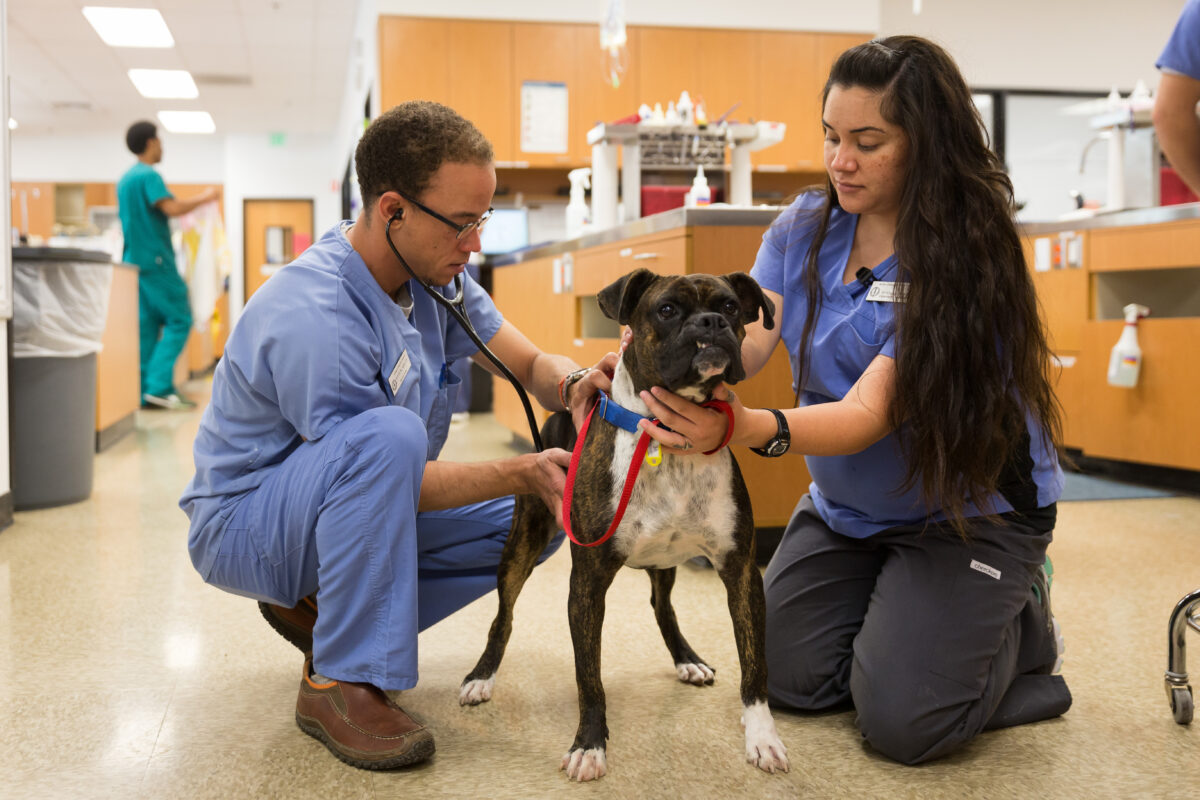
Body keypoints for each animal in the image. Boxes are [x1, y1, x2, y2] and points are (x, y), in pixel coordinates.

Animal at [458, 268, 787, 782]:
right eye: (667, 310)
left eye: (731, 307)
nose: (712, 323)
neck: (668, 439)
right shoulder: (588, 582)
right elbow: (588, 678)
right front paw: (589, 746)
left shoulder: (741, 572)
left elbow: (755, 667)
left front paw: (762, 737)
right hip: (523, 543)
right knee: (503, 616)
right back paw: (481, 676)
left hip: (666, 560)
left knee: (662, 606)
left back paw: (687, 660)